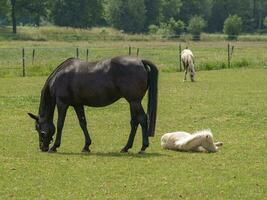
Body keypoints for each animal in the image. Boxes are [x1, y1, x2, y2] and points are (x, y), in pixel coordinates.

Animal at [28, 55, 159, 154]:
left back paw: (143, 147)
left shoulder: (62, 104)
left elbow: (60, 124)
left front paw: (55, 146)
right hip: (132, 102)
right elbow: (83, 123)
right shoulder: (77, 105)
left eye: (38, 128)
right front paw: (86, 146)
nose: (43, 148)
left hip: (134, 101)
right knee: (134, 122)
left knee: (142, 119)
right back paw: (126, 147)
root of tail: (140, 62)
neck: (59, 77)